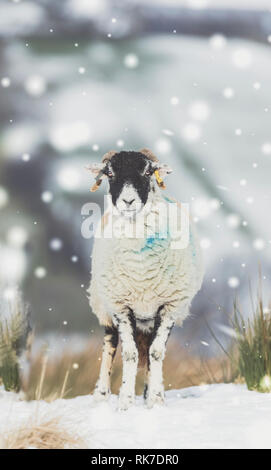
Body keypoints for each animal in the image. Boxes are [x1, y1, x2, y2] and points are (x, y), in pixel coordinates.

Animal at [87, 149, 204, 410]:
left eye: (148, 172)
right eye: (110, 173)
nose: (128, 201)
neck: (141, 272)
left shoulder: (169, 306)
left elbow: (157, 353)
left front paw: (156, 401)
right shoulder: (121, 306)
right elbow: (129, 354)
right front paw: (124, 403)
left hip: (151, 317)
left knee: (150, 349)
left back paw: (150, 392)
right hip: (103, 304)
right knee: (109, 345)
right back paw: (101, 394)